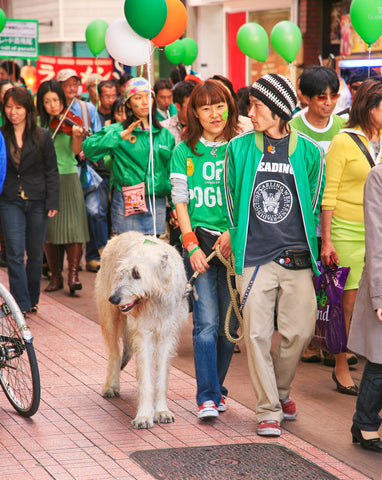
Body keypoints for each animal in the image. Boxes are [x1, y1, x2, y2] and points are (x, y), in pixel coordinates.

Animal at [95, 231, 188, 430]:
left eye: (136, 274)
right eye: (122, 273)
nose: (114, 299)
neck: (155, 300)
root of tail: (116, 236)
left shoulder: (166, 334)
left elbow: (161, 376)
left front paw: (161, 411)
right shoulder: (144, 334)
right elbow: (145, 377)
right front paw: (144, 416)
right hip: (109, 318)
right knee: (114, 352)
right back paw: (111, 386)